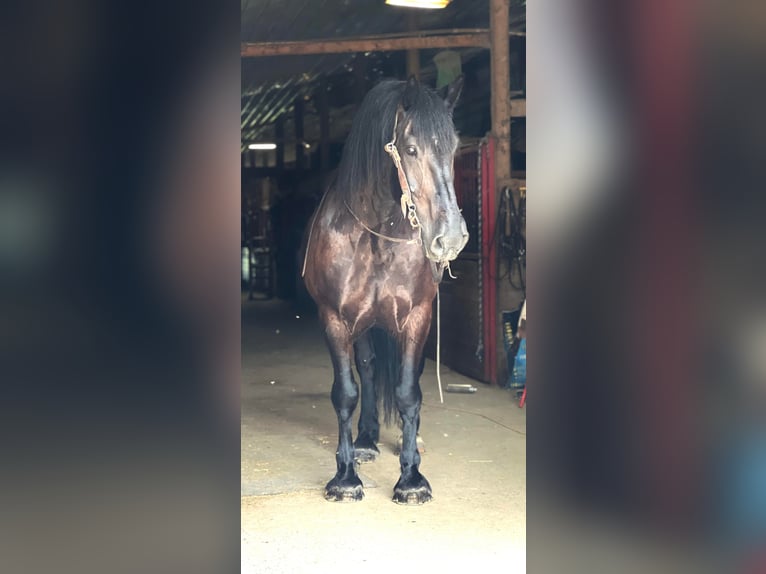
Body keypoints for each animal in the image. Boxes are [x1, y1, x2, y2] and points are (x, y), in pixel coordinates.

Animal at [300, 75, 468, 504]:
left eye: (455, 148)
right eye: (410, 149)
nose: (450, 239)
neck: (374, 233)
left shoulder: (417, 317)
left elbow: (409, 393)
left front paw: (412, 478)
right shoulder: (335, 319)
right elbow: (346, 392)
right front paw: (345, 478)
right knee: (369, 369)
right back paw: (366, 440)